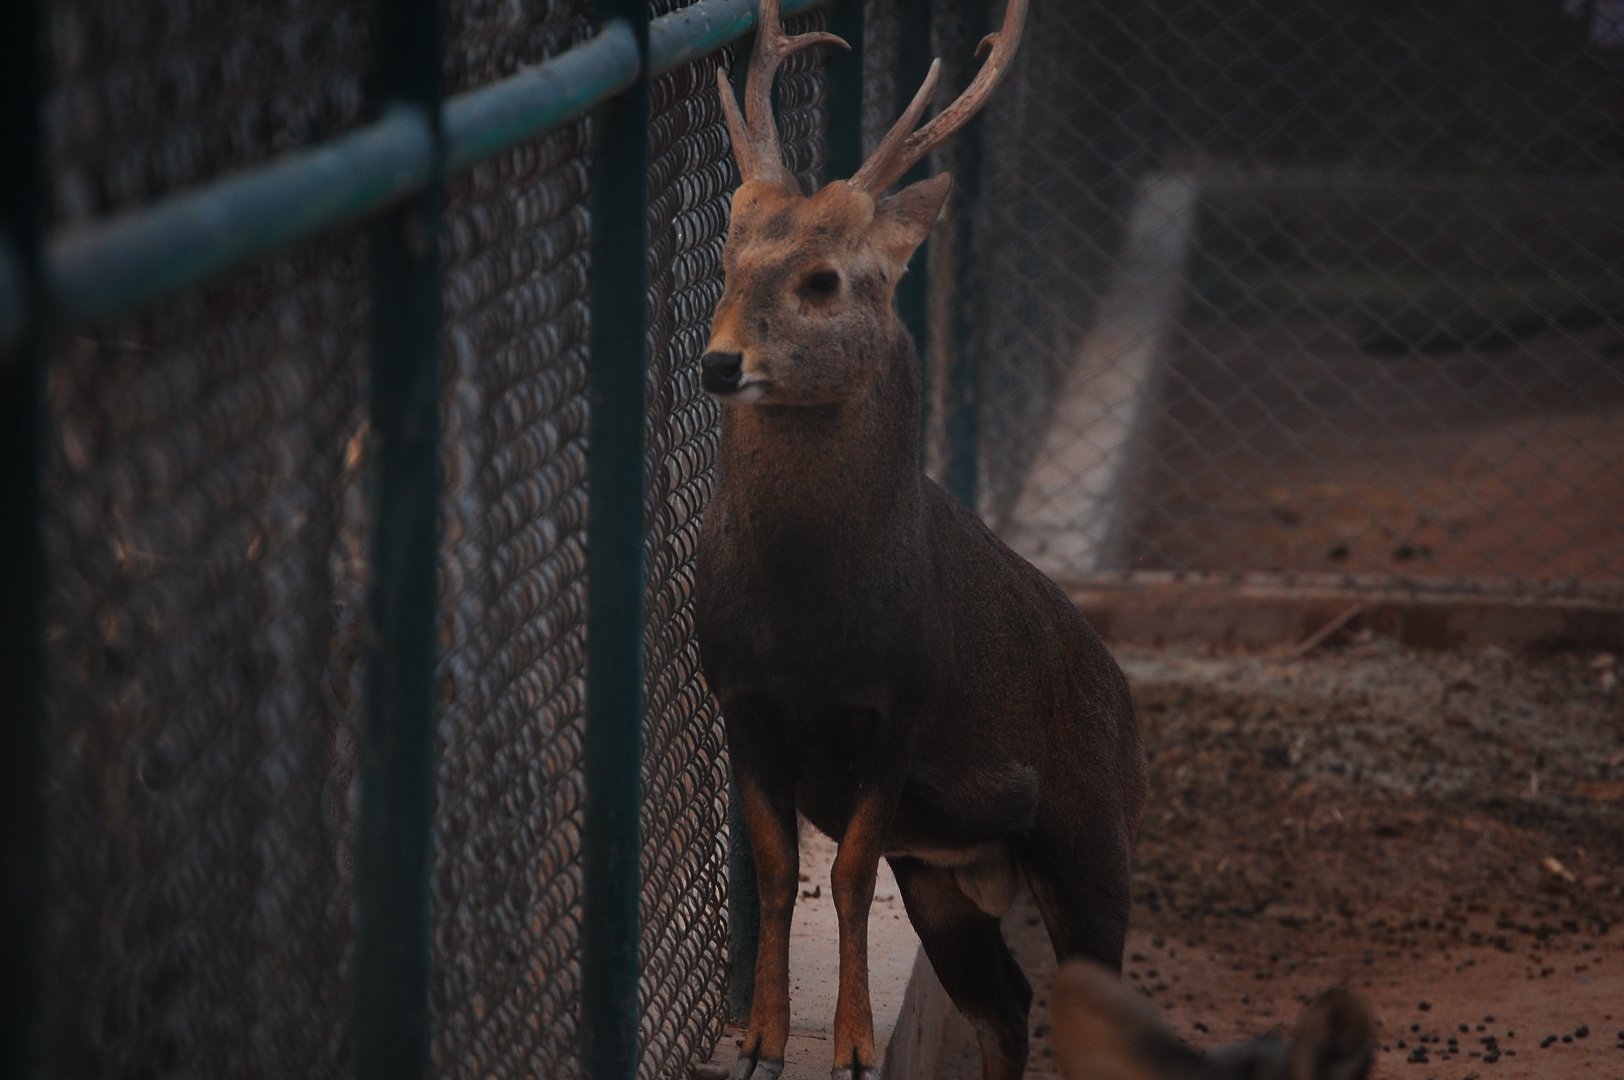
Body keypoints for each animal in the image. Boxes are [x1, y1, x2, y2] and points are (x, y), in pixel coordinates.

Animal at [692, 2, 1146, 1079]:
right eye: (727, 260)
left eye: (822, 280)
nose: (719, 363)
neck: (808, 629)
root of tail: (1124, 693)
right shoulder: (738, 699)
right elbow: (776, 873)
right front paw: (762, 1043)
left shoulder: (898, 703)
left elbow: (847, 877)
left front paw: (854, 1047)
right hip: (948, 871)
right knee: (1005, 1003)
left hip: (1095, 830)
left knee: (1087, 996)